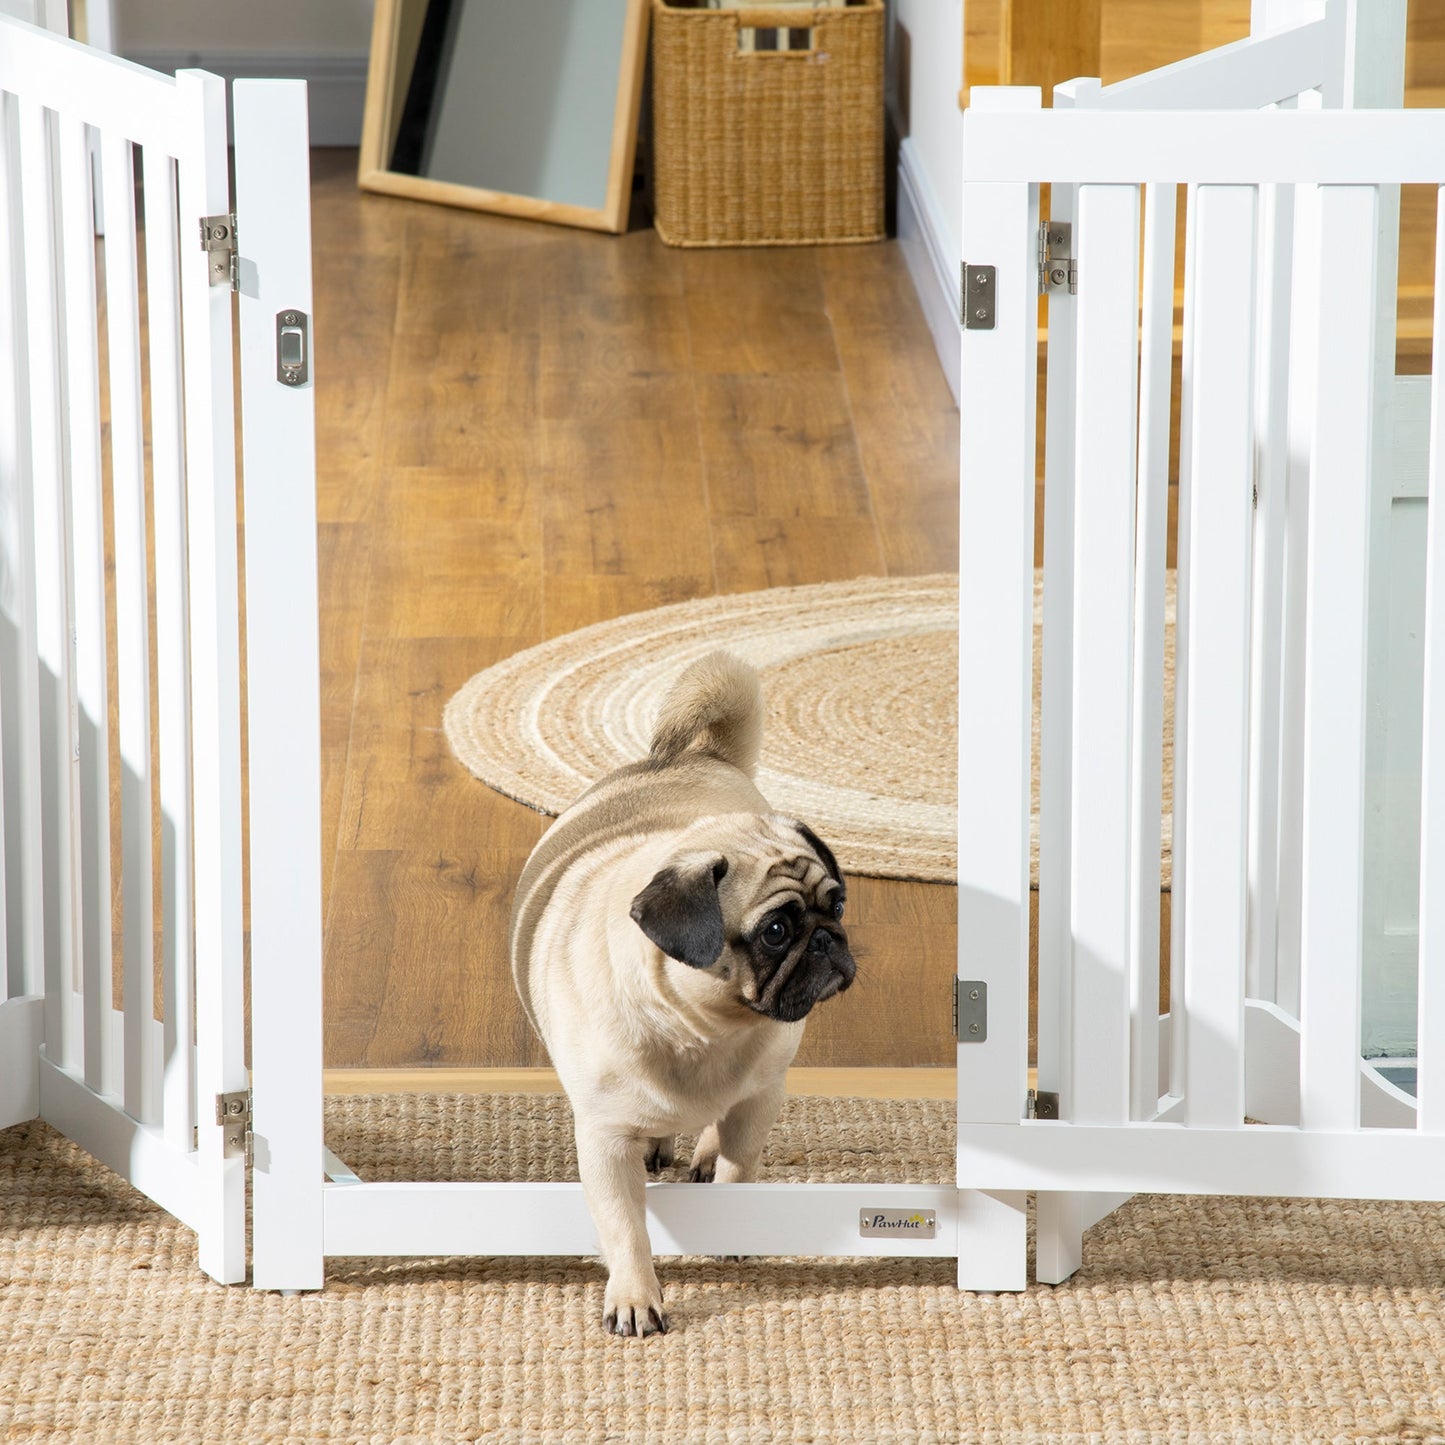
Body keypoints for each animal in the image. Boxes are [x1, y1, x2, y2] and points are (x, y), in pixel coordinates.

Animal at [508, 650, 849, 1335]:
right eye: (775, 932)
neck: (703, 1029)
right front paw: (635, 1295)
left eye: (839, 903)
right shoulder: (605, 1141)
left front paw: (730, 1226)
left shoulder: (761, 1097)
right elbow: (625, 1228)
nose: (829, 939)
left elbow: (740, 1172)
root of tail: (700, 756)